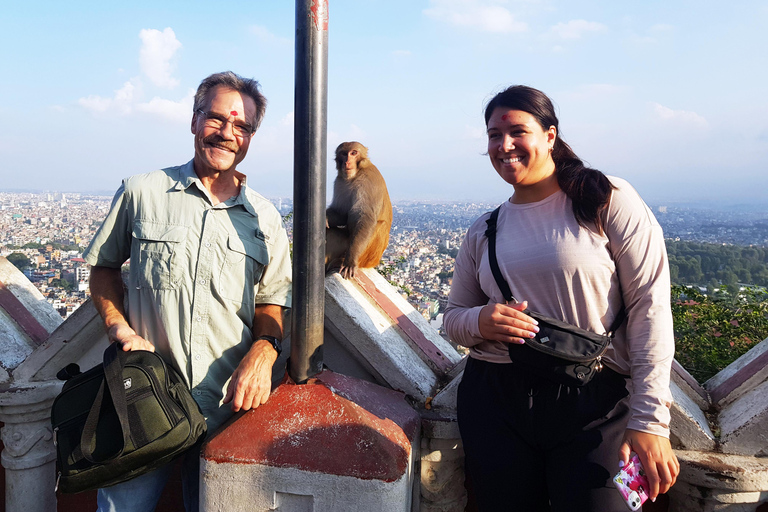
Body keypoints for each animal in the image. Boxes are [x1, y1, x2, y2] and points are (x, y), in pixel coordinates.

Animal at [326, 141, 392, 280]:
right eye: (343, 153)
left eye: (353, 153)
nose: (347, 162)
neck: (355, 174)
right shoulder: (339, 181)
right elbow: (342, 213)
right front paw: (325, 217)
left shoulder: (368, 181)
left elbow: (365, 218)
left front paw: (350, 262)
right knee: (331, 233)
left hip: (370, 257)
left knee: (379, 225)